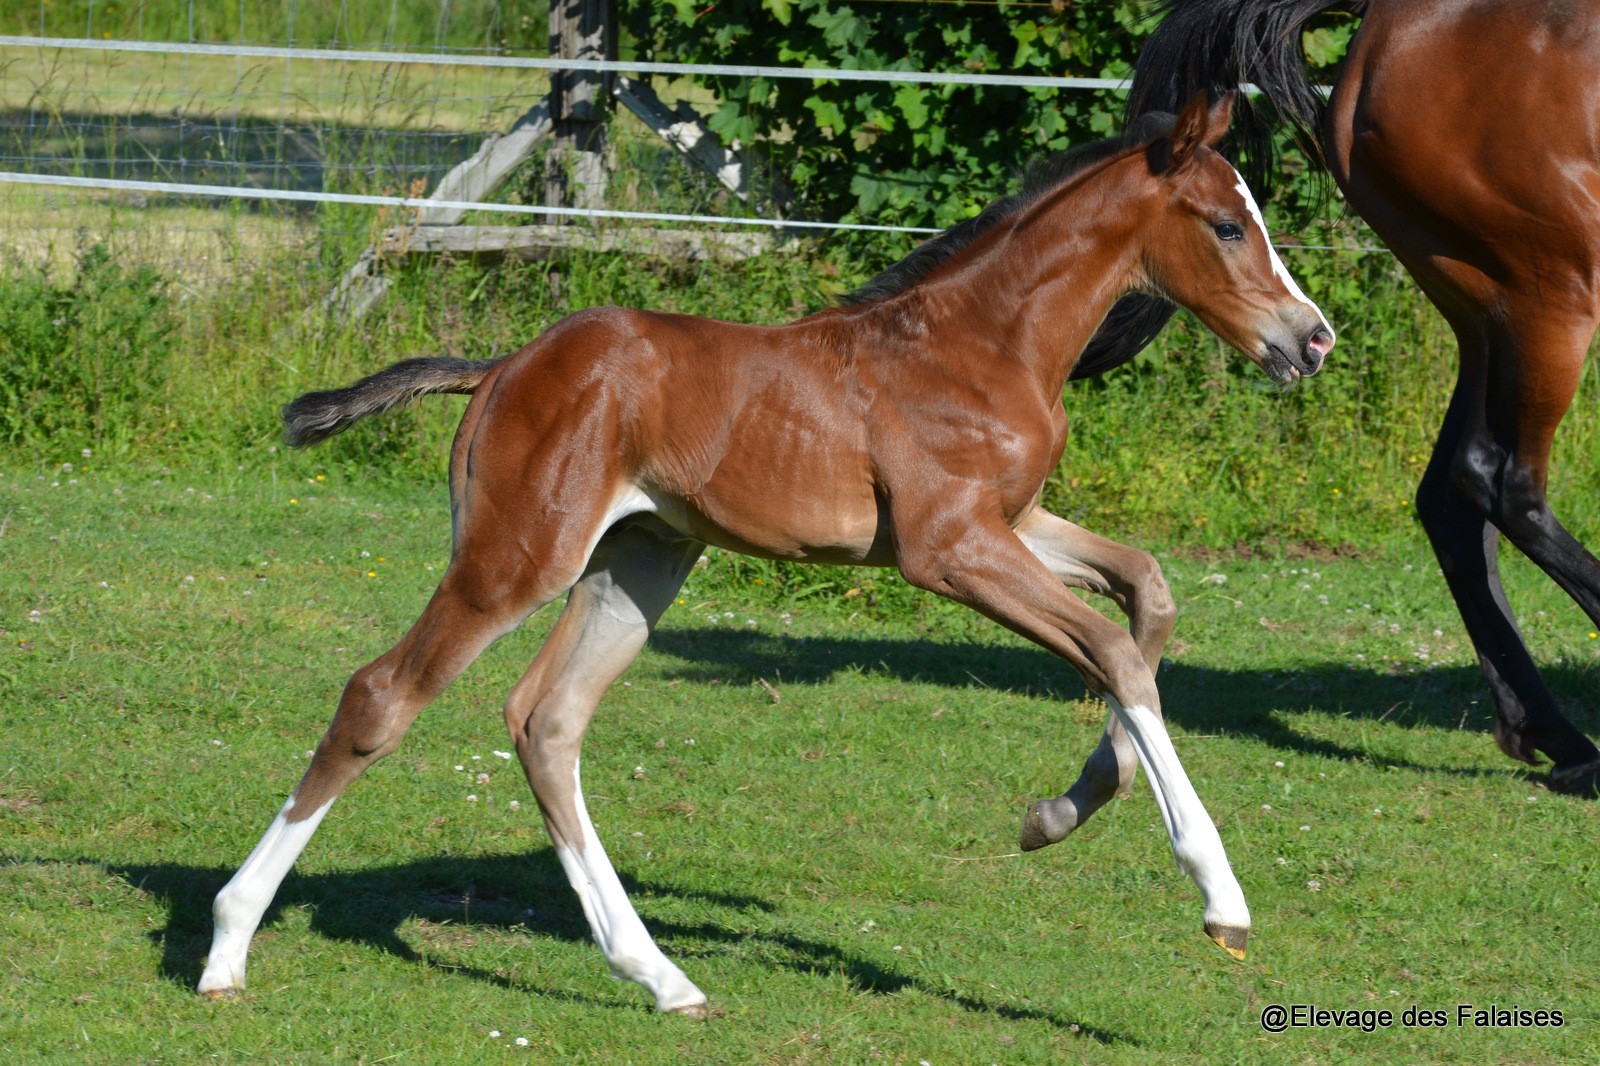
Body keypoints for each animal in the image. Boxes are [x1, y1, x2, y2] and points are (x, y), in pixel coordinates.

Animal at [200, 95, 1337, 1011]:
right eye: (1228, 223)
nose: (1312, 338)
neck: (981, 340)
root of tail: (505, 366)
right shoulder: (946, 548)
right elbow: (1112, 647)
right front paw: (1216, 891)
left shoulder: (1011, 523)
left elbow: (1148, 597)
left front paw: (1055, 813)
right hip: (517, 557)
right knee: (382, 694)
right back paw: (225, 948)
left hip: (637, 565)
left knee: (546, 721)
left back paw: (660, 976)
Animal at [1126, 0, 1600, 784]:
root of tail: (1385, 23)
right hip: (1551, 297)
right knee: (1505, 483)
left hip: (1486, 314)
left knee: (1453, 494)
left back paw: (1553, 731)